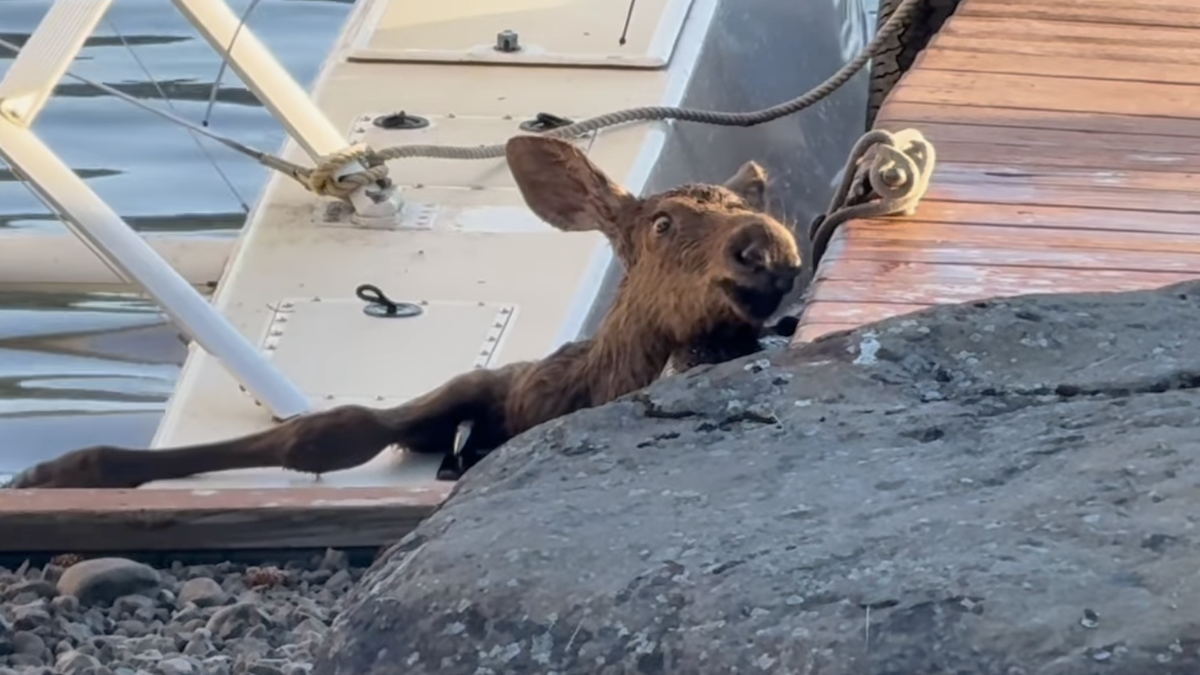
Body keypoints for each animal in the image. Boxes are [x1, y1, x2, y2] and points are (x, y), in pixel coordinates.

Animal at [3, 135, 802, 489]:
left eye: (756, 204)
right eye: (663, 222)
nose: (765, 246)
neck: (604, 382)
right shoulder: (484, 386)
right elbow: (328, 430)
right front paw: (62, 467)